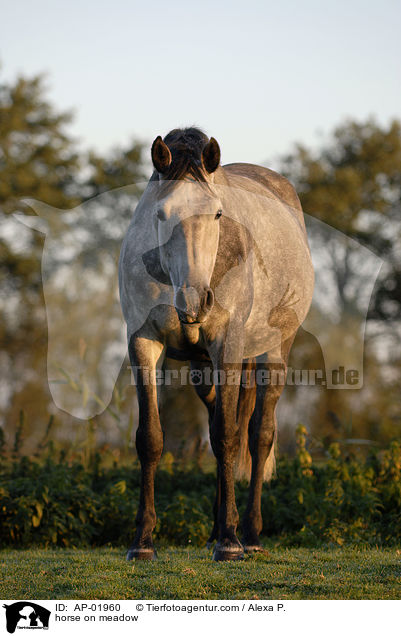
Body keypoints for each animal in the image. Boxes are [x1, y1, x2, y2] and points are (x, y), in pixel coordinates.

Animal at [118, 125, 312, 560]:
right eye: (160, 214)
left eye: (218, 214)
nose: (194, 301)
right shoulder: (142, 343)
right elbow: (150, 438)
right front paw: (143, 542)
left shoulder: (227, 346)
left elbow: (227, 436)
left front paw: (229, 542)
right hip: (203, 369)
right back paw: (217, 528)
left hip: (272, 352)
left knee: (257, 435)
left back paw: (249, 535)